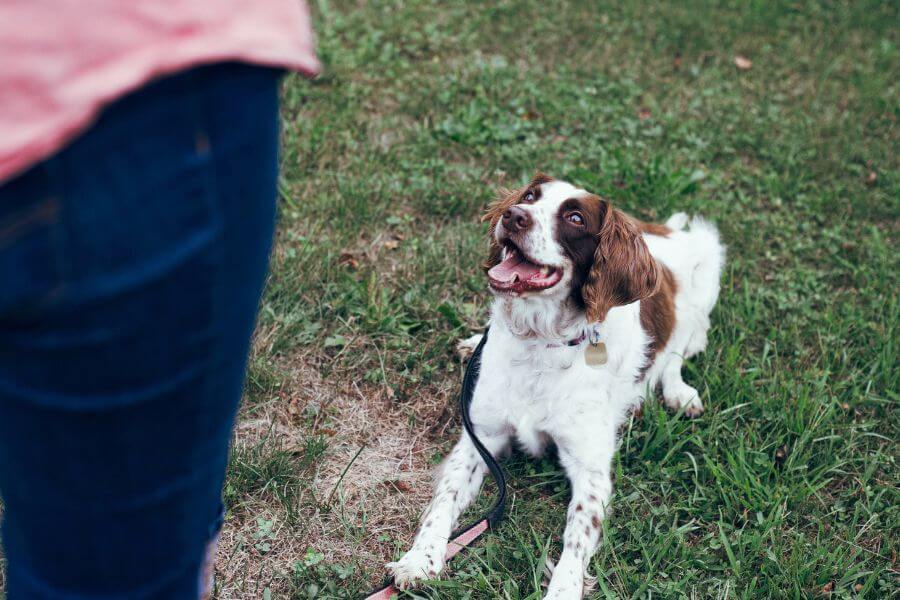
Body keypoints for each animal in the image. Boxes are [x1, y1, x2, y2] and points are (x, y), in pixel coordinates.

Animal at [386, 172, 724, 596]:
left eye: (575, 218)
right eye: (530, 196)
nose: (514, 215)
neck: (539, 342)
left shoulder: (590, 469)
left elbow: (576, 538)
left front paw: (562, 590)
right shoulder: (481, 437)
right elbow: (443, 501)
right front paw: (420, 559)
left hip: (707, 265)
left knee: (678, 350)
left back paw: (679, 392)